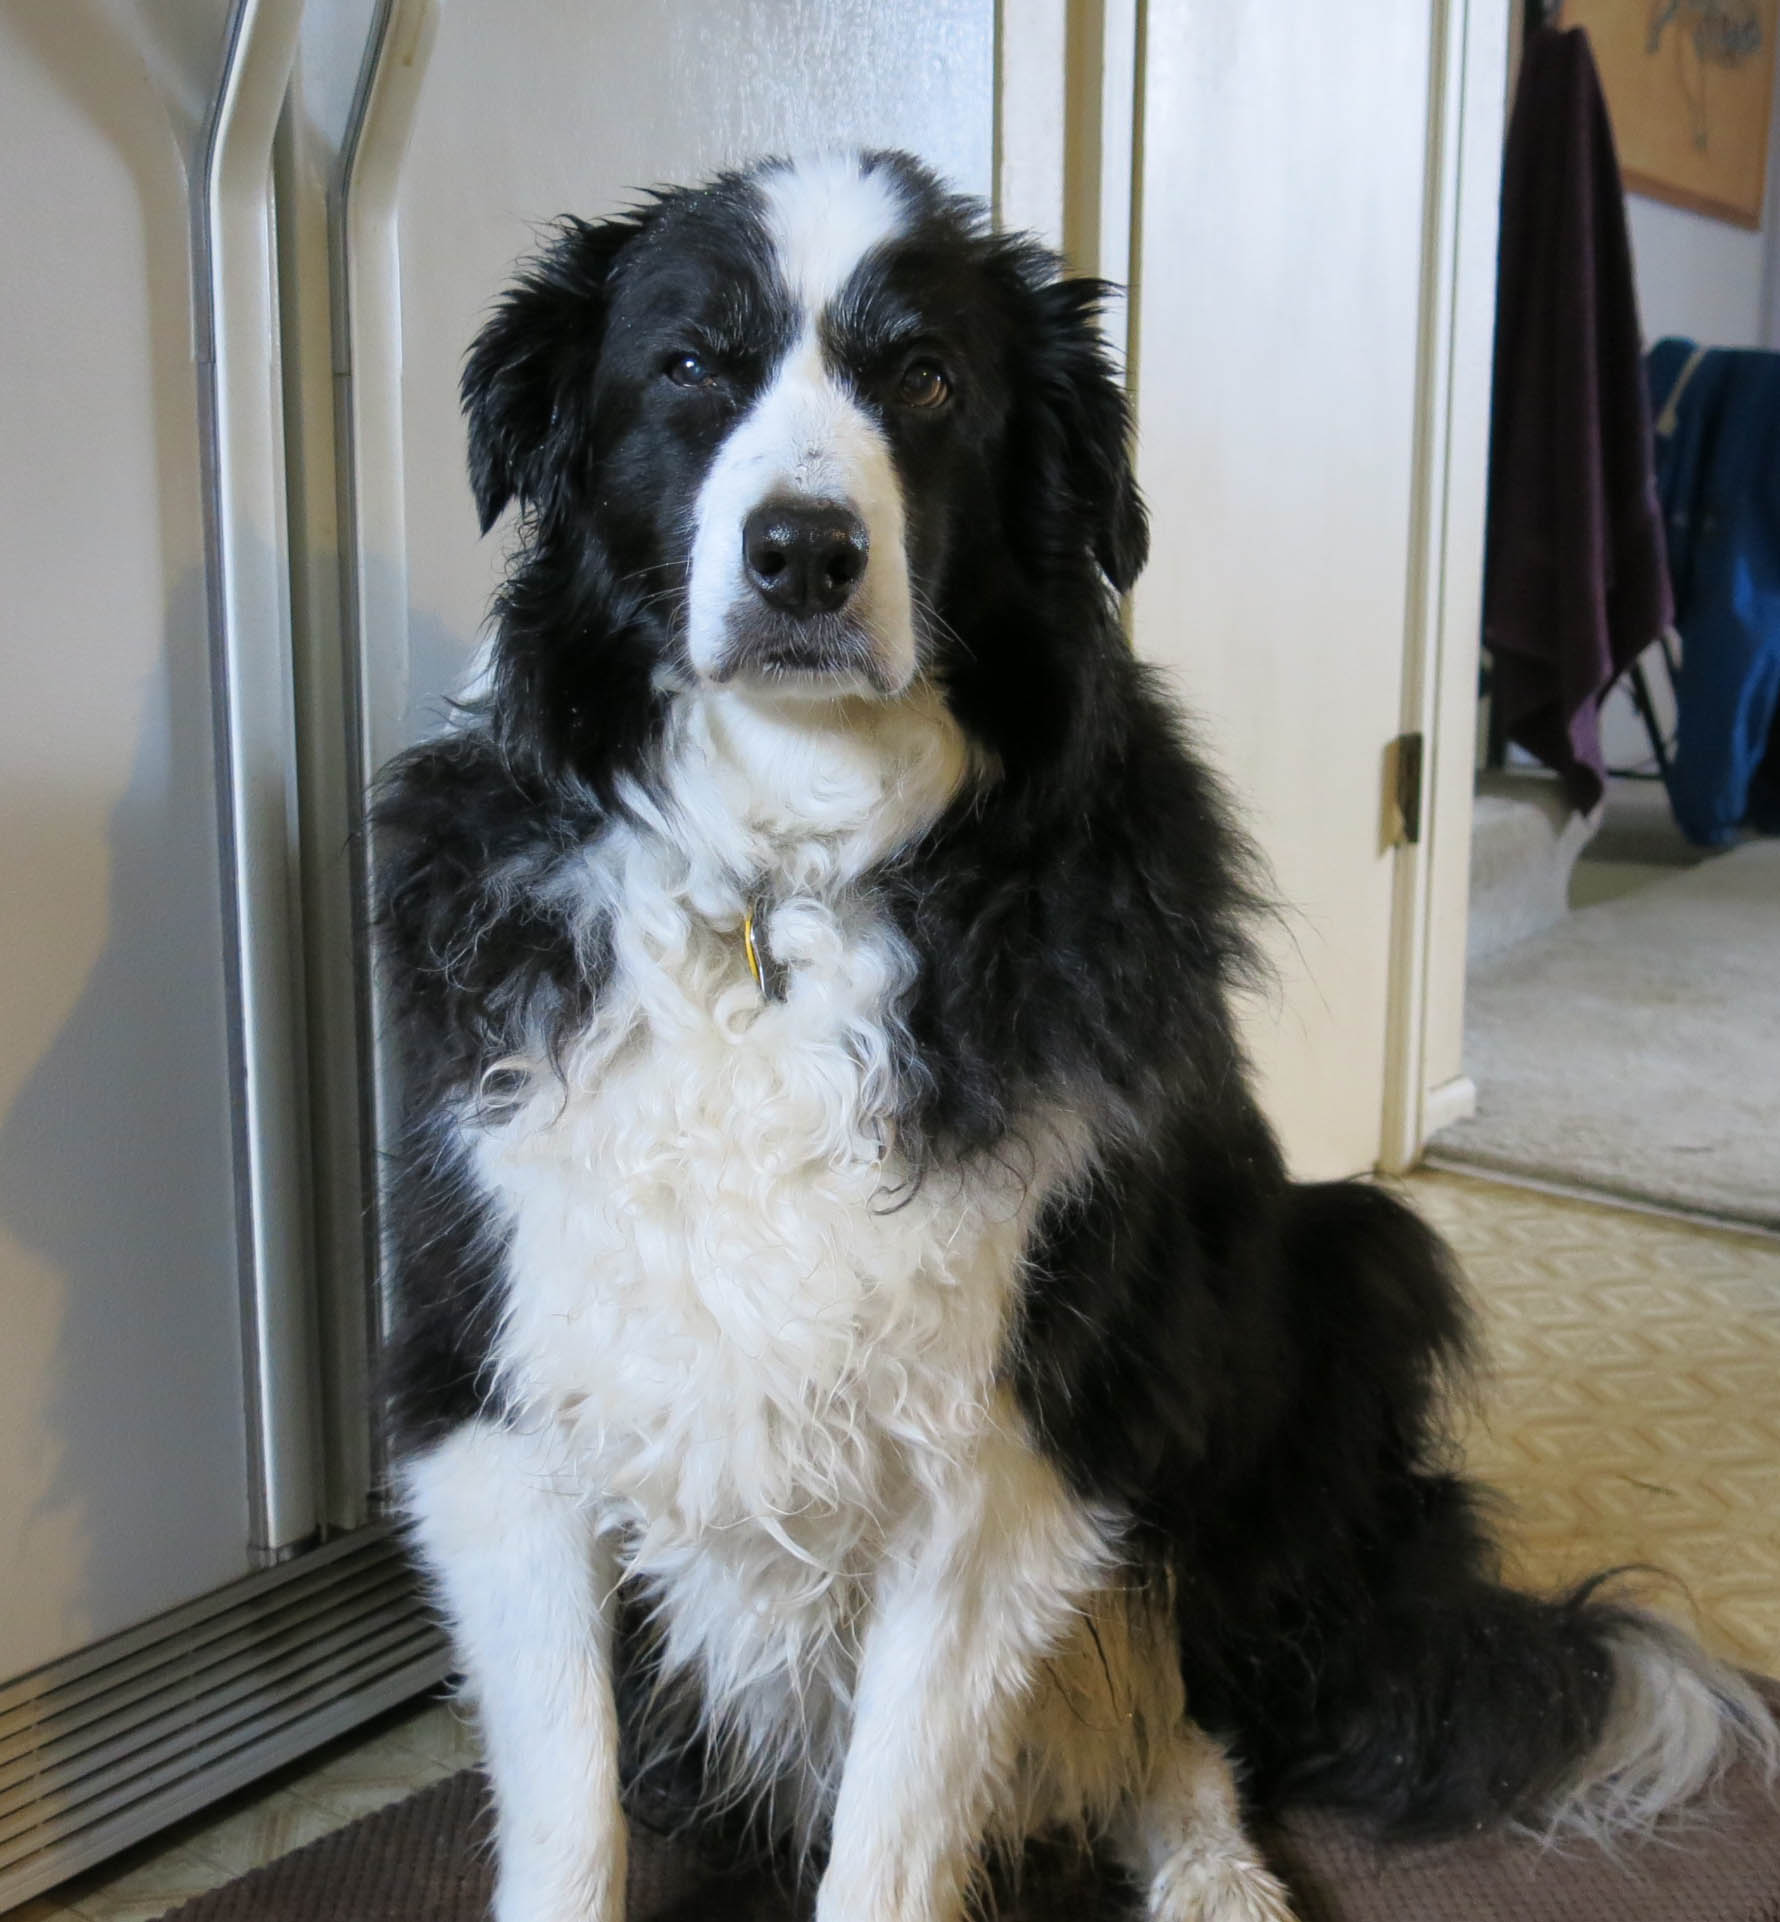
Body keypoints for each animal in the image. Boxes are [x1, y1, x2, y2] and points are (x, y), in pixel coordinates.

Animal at [374, 151, 1774, 1922]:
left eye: (924, 378)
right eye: (688, 364)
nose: (803, 554)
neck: (782, 886)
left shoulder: (1013, 1445)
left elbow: (901, 1820)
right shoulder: (498, 1382)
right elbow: (568, 1807)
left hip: (1332, 1278)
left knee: (1179, 1706)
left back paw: (1219, 1877)